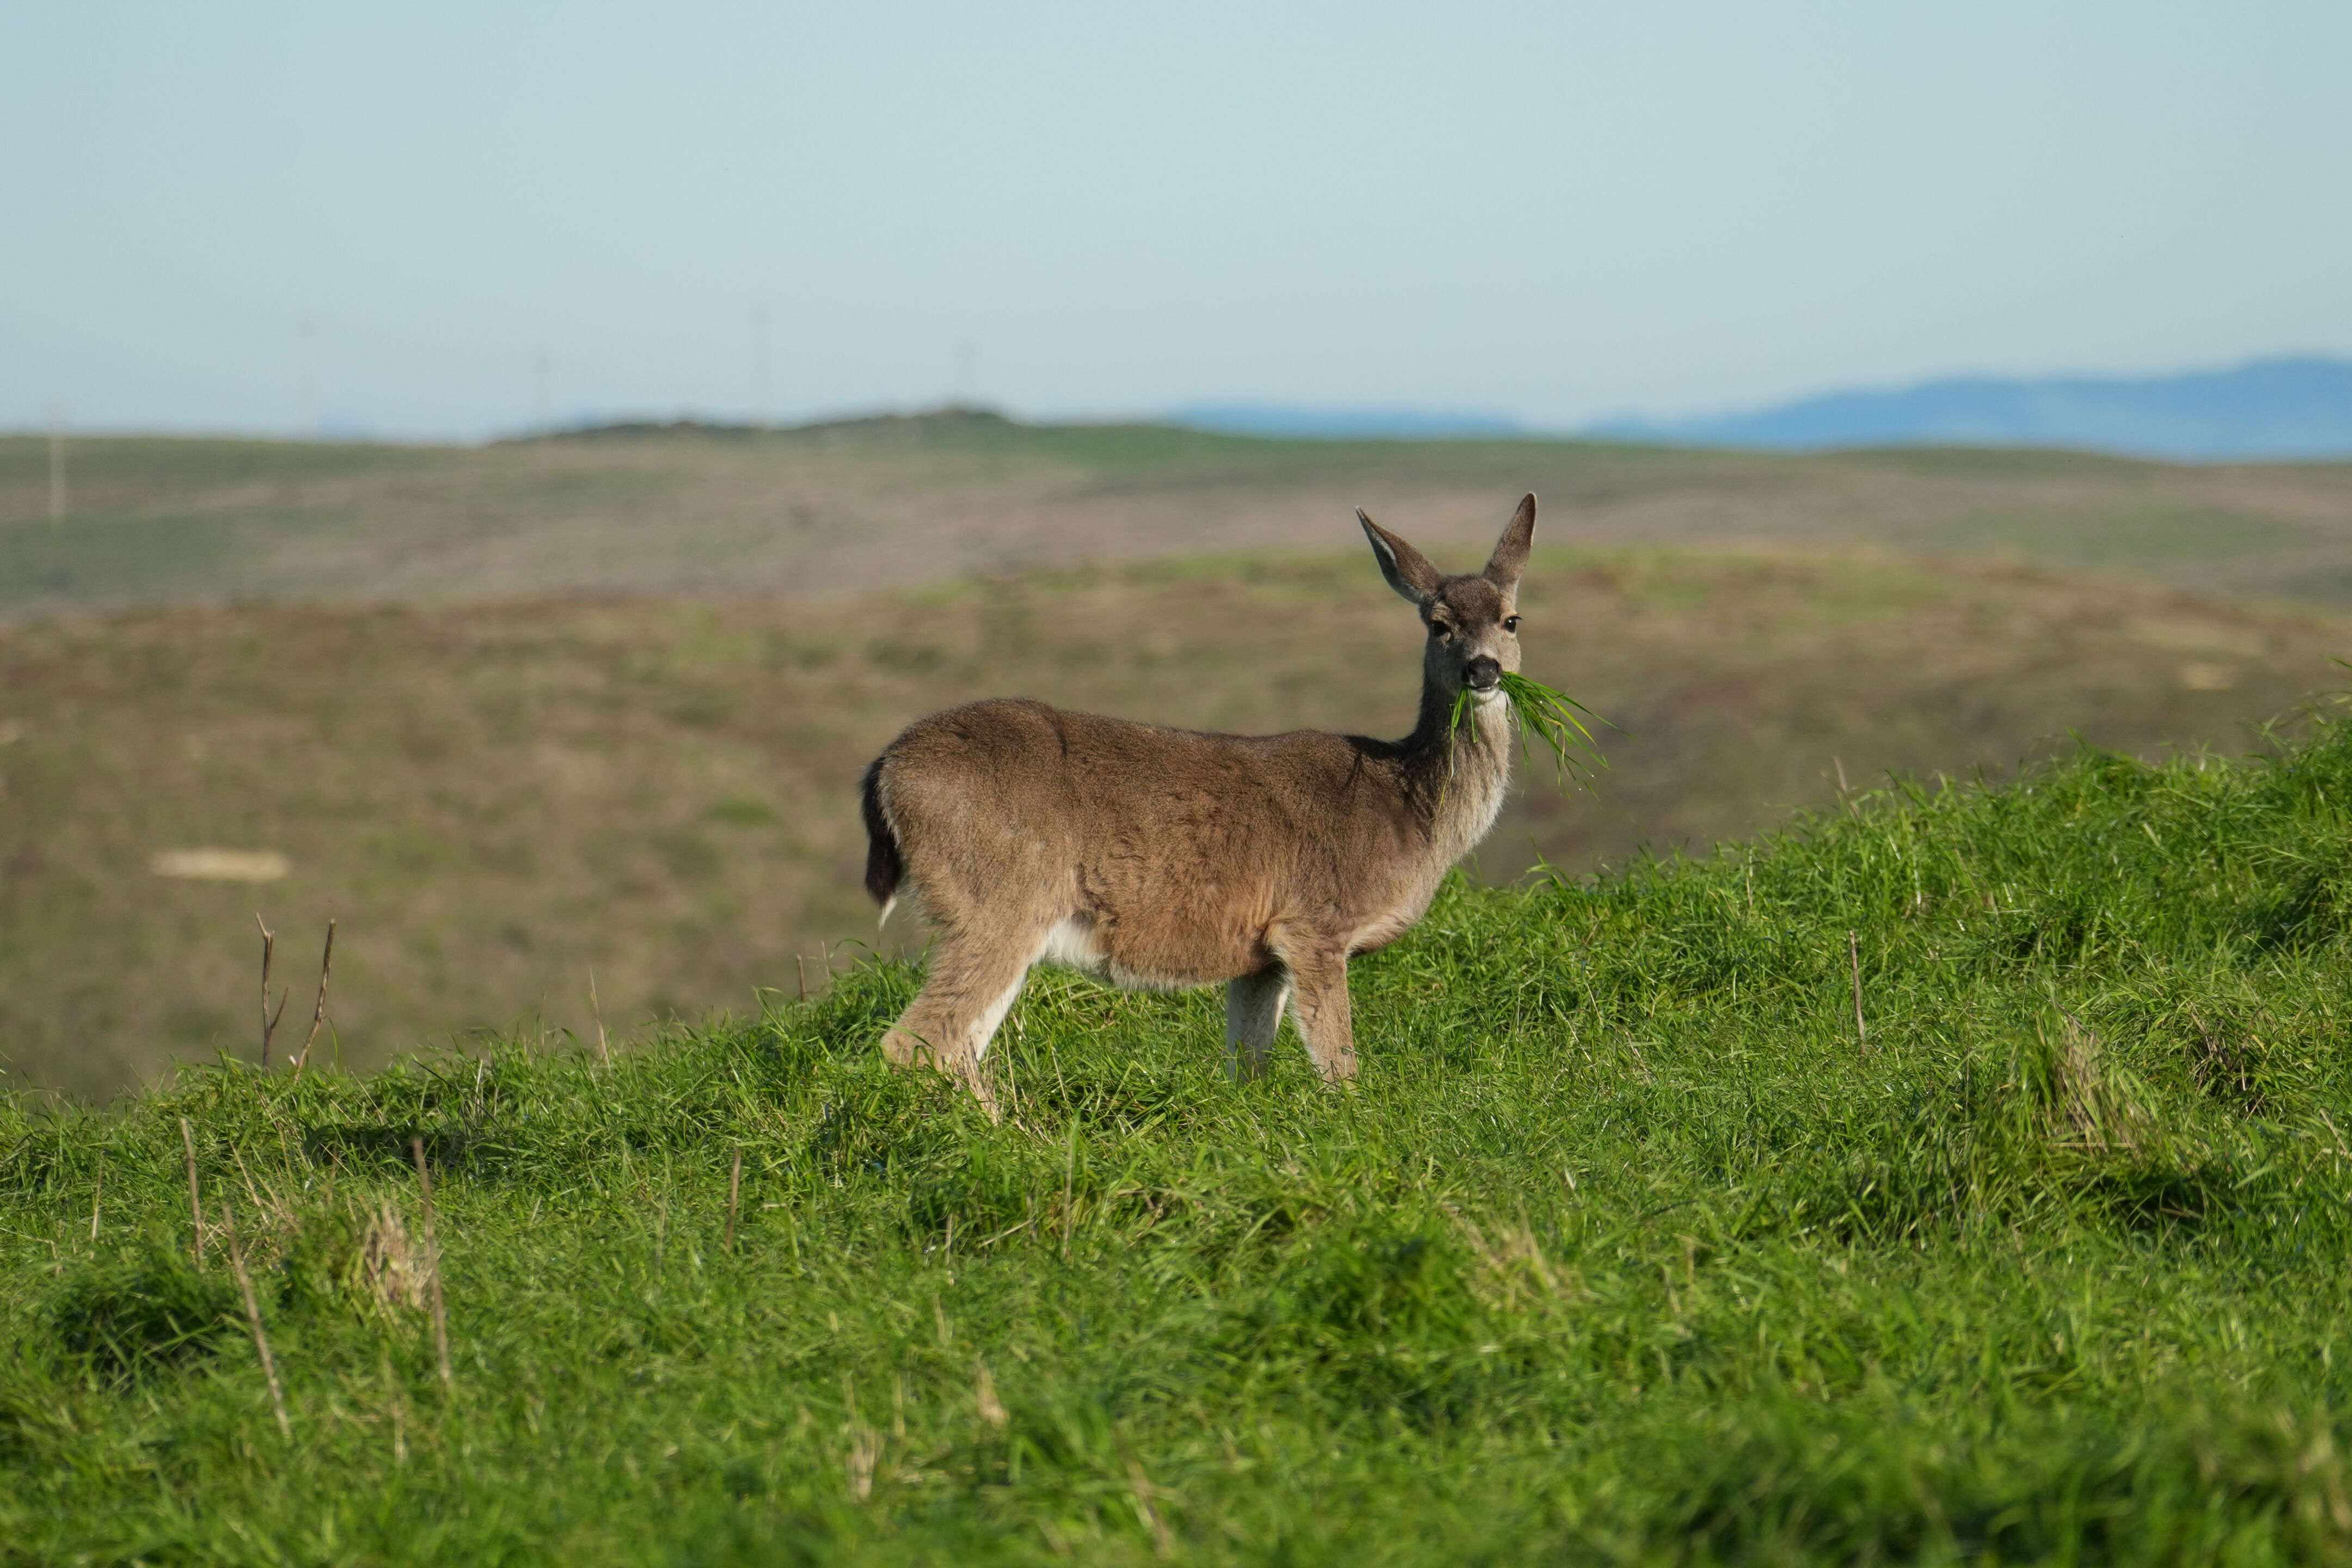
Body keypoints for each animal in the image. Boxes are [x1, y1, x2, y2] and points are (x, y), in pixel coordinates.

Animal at [857, 494, 1538, 1117]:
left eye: (1511, 620)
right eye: (1439, 624)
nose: (1483, 670)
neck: (1407, 807)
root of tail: (885, 768)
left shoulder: (1260, 956)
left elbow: (1248, 1064)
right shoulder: (1314, 925)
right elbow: (1339, 1065)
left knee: (960, 1044)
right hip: (998, 898)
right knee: (918, 1042)